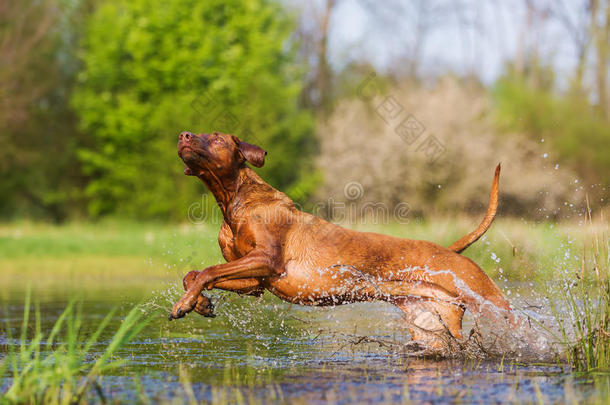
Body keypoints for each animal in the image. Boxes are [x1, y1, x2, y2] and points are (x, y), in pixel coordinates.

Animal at [171, 131, 512, 346]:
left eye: (215, 137)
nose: (183, 135)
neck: (234, 201)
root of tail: (450, 251)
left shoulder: (267, 260)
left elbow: (208, 271)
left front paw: (185, 304)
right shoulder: (256, 282)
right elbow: (194, 274)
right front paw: (199, 303)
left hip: (491, 303)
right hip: (430, 324)